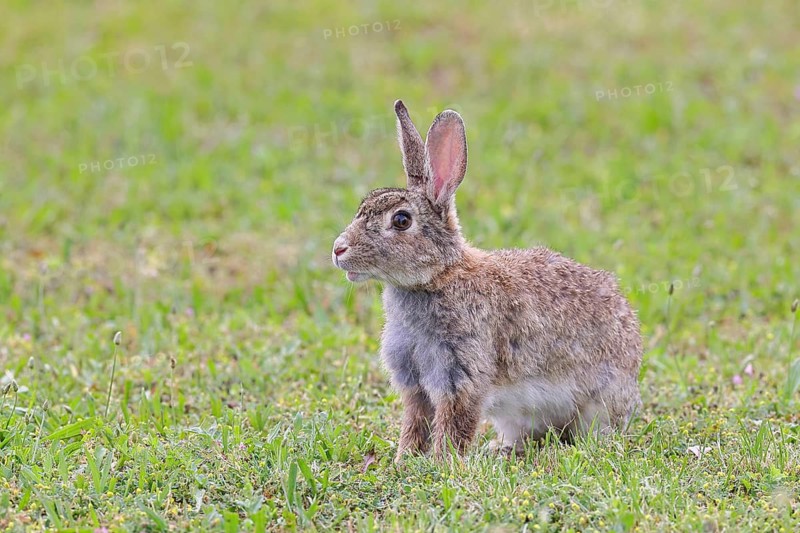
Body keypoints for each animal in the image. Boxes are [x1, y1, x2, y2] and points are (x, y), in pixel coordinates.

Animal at [332, 100, 642, 461]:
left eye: (401, 220)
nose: (338, 249)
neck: (437, 278)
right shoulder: (415, 384)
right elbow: (415, 423)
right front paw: (404, 459)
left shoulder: (462, 377)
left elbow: (453, 426)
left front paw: (443, 463)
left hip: (601, 403)